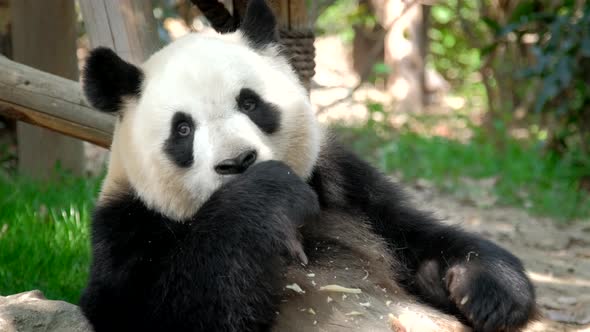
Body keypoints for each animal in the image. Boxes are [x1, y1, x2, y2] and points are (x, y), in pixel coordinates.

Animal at [80, 1, 540, 330]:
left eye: (250, 103)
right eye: (182, 129)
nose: (238, 162)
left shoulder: (344, 182)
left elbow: (412, 234)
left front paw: (486, 289)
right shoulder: (126, 228)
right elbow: (157, 310)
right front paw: (265, 196)